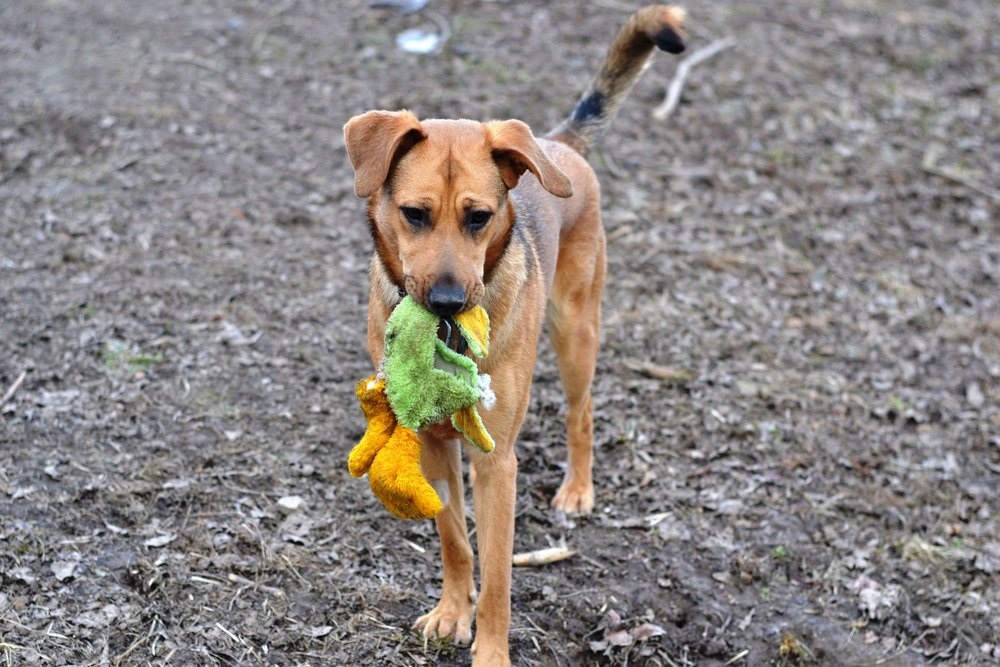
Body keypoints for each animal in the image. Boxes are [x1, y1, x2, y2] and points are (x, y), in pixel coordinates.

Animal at [346, 6, 688, 667]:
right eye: (414, 214)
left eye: (479, 217)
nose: (448, 301)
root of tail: (554, 144)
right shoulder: (434, 443)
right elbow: (455, 539)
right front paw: (452, 613)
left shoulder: (495, 461)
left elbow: (500, 576)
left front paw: (490, 650)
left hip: (576, 332)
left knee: (582, 412)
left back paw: (577, 489)